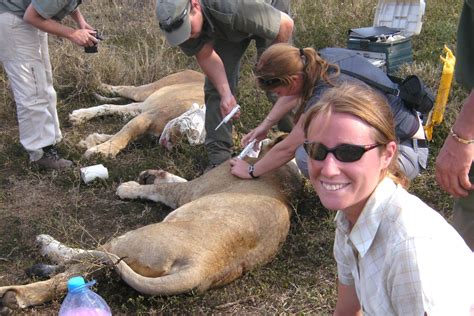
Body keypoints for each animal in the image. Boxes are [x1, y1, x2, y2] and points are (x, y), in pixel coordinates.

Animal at [0, 138, 302, 312]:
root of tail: (203, 267)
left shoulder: (191, 192)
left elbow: (162, 190)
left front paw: (130, 187)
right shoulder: (196, 187)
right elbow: (172, 180)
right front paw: (152, 174)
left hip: (129, 240)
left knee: (78, 267)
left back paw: (30, 267)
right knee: (77, 274)